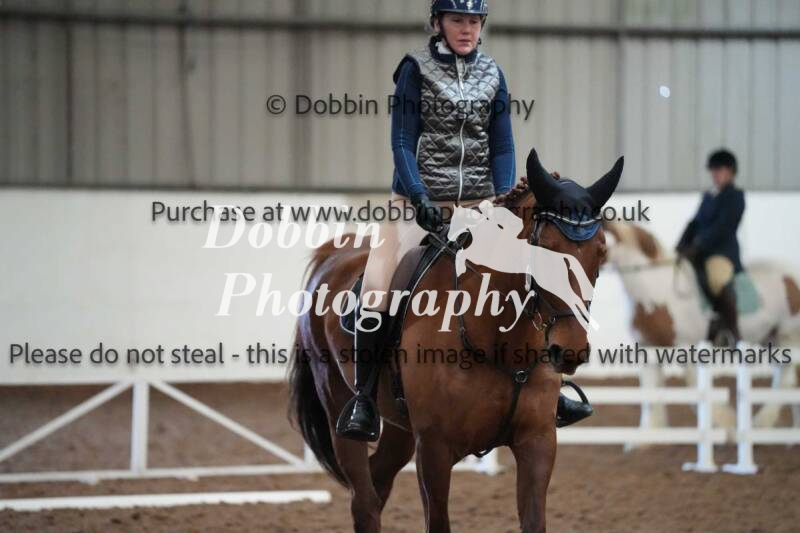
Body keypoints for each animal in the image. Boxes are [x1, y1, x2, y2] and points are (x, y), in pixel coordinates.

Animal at [288, 148, 623, 533]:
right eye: (545, 249)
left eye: (601, 252)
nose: (570, 350)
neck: (498, 344)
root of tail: (332, 256)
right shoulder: (434, 450)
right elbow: (438, 521)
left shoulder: (538, 443)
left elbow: (534, 520)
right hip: (339, 408)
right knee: (364, 500)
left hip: (401, 428)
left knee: (377, 483)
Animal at [604, 221, 800, 430]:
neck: (654, 292)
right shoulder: (648, 350)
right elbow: (651, 399)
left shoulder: (686, 349)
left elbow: (694, 392)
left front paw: (726, 422)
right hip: (771, 338)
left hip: (788, 337)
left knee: (786, 380)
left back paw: (762, 420)